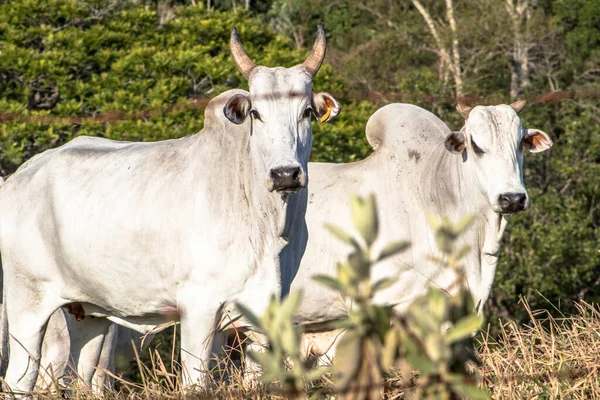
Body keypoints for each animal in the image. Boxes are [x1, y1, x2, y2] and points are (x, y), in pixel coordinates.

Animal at [0, 25, 340, 394]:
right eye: (255, 114)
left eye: (306, 112)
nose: (285, 174)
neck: (267, 226)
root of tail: (18, 177)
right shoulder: (199, 308)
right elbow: (196, 383)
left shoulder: (263, 315)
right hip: (27, 304)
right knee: (20, 379)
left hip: (88, 314)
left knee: (83, 377)